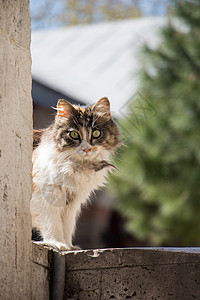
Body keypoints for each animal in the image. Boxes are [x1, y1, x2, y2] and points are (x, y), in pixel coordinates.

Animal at [30, 98, 119, 251]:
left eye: (96, 134)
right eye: (74, 135)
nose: (86, 149)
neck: (77, 166)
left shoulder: (73, 202)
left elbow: (67, 225)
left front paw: (69, 246)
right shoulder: (45, 194)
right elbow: (52, 222)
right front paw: (57, 243)